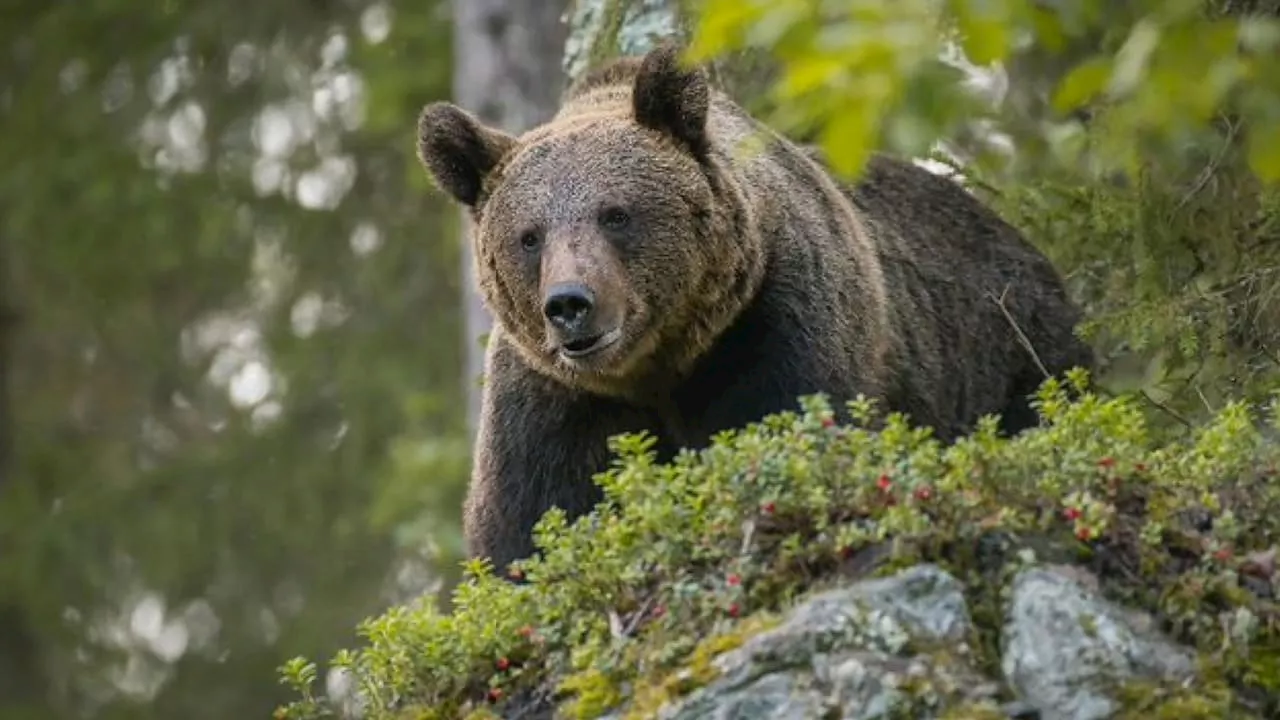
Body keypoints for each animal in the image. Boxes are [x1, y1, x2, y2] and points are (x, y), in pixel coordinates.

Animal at [414, 41, 1095, 568]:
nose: (570, 305)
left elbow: (788, 430)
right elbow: (530, 525)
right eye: (529, 236)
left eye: (615, 214)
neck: (660, 366)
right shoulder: (554, 398)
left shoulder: (776, 323)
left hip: (1016, 353)